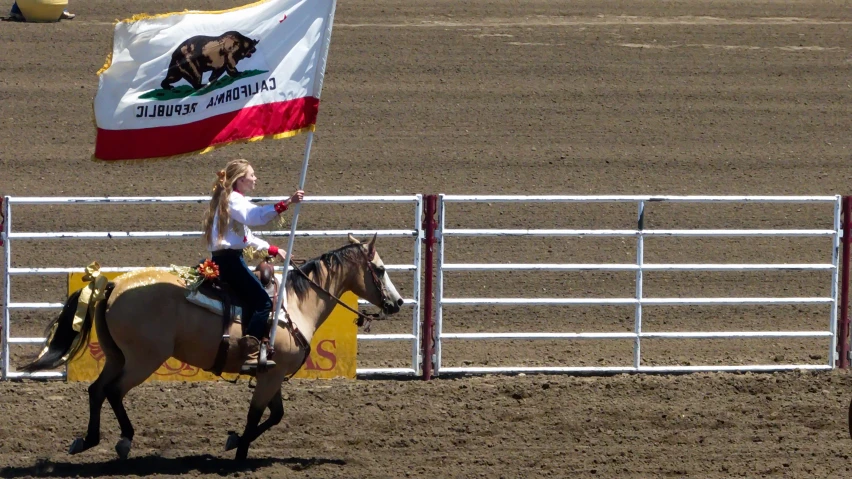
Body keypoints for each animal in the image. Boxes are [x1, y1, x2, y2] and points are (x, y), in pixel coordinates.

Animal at [20, 235, 404, 462]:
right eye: (381, 268)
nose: (398, 302)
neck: (294, 304)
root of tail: (112, 283)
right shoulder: (271, 375)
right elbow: (256, 414)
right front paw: (239, 455)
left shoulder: (273, 373)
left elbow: (275, 415)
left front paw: (234, 442)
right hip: (143, 359)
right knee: (113, 391)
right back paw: (124, 440)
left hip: (118, 356)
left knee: (96, 390)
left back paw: (87, 440)